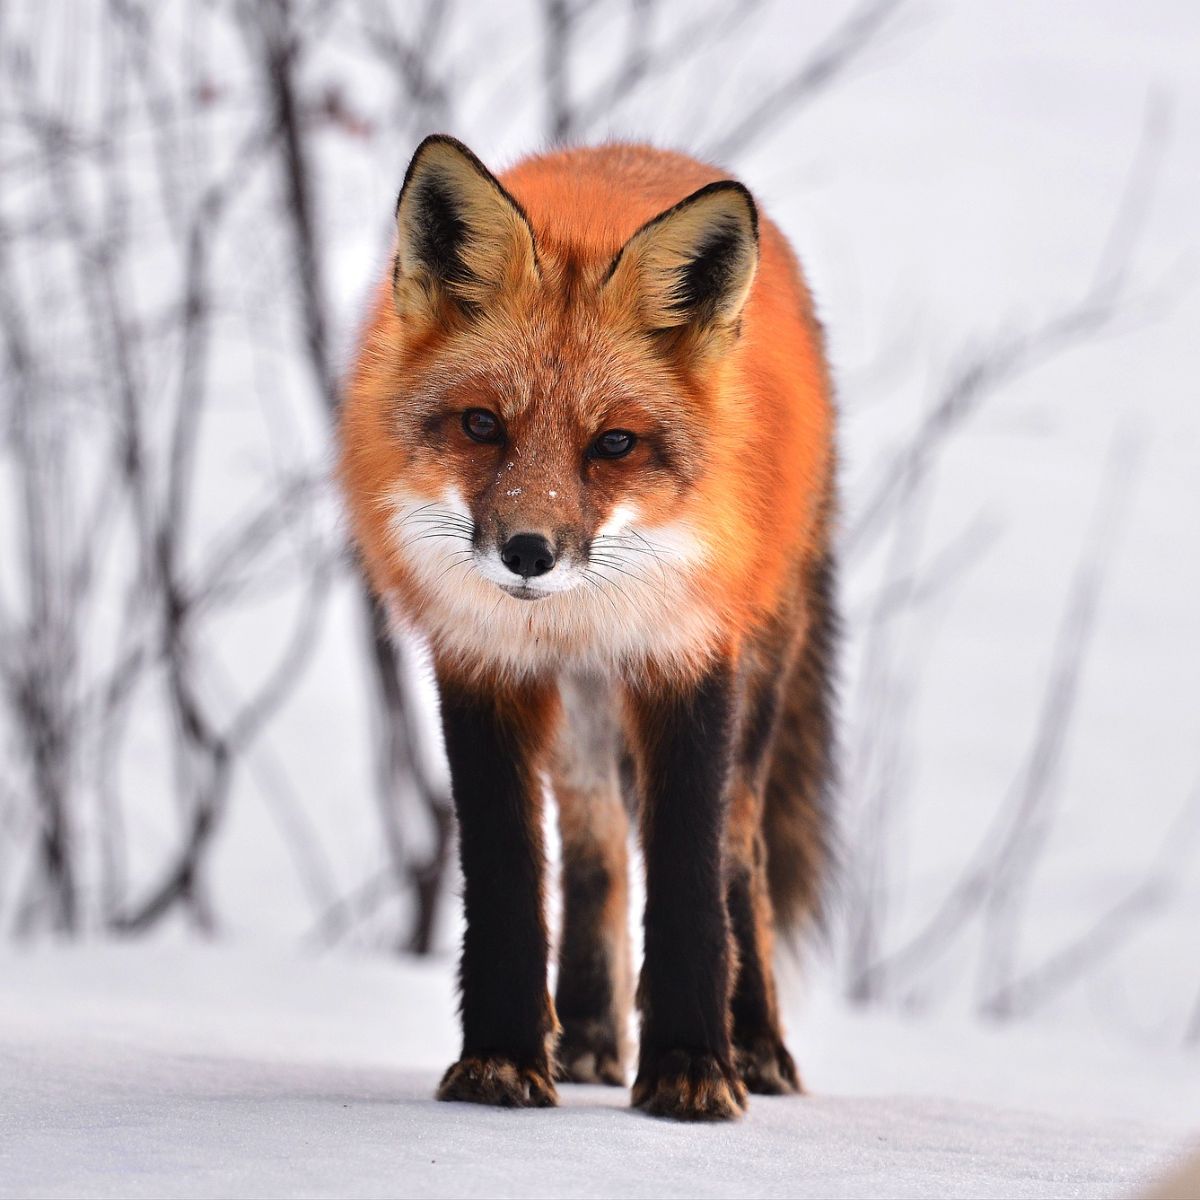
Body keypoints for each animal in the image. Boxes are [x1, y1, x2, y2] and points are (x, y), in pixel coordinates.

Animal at [339, 135, 836, 1122]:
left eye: (613, 444)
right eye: (482, 424)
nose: (528, 553)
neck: (576, 613)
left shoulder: (687, 659)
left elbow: (688, 881)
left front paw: (692, 1066)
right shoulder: (483, 664)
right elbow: (507, 879)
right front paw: (500, 1058)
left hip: (758, 673)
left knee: (740, 854)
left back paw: (757, 1045)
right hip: (580, 717)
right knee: (595, 849)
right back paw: (591, 1036)